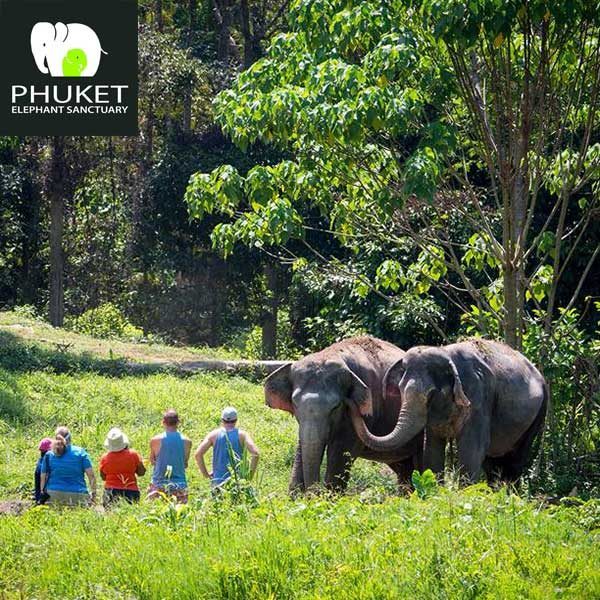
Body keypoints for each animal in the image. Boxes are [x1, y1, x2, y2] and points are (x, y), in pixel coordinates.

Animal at [262, 338, 422, 492]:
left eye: (336, 406)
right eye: (294, 404)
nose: (314, 493)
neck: (332, 353)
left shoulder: (364, 412)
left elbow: (341, 452)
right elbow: (302, 446)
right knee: (403, 469)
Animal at [346, 338, 548, 482]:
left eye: (431, 394)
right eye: (400, 390)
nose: (351, 400)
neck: (446, 352)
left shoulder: (479, 396)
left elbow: (471, 448)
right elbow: (432, 447)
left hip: (538, 413)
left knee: (516, 460)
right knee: (493, 463)